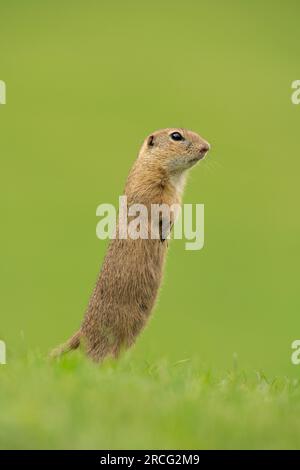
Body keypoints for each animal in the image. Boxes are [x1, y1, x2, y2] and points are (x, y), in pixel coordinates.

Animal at [50, 129, 210, 364]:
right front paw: (164, 231)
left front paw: (169, 235)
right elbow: (159, 206)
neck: (174, 177)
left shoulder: (176, 196)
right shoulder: (151, 186)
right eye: (176, 136)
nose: (207, 147)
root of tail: (83, 330)